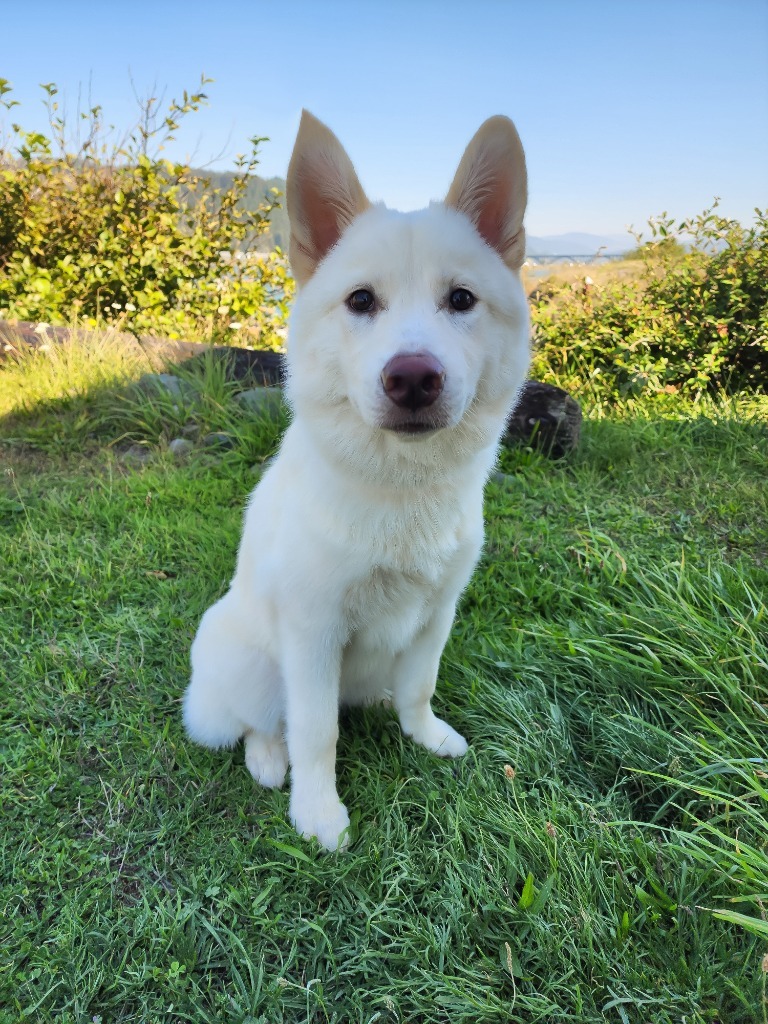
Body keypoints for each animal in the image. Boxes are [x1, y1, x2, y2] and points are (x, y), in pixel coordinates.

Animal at [183, 110, 532, 847]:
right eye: (362, 300)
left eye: (462, 299)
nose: (413, 378)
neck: (400, 489)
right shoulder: (313, 634)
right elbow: (316, 733)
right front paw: (317, 812)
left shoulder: (438, 612)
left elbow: (420, 687)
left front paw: (426, 735)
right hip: (254, 665)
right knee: (263, 724)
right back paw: (266, 760)